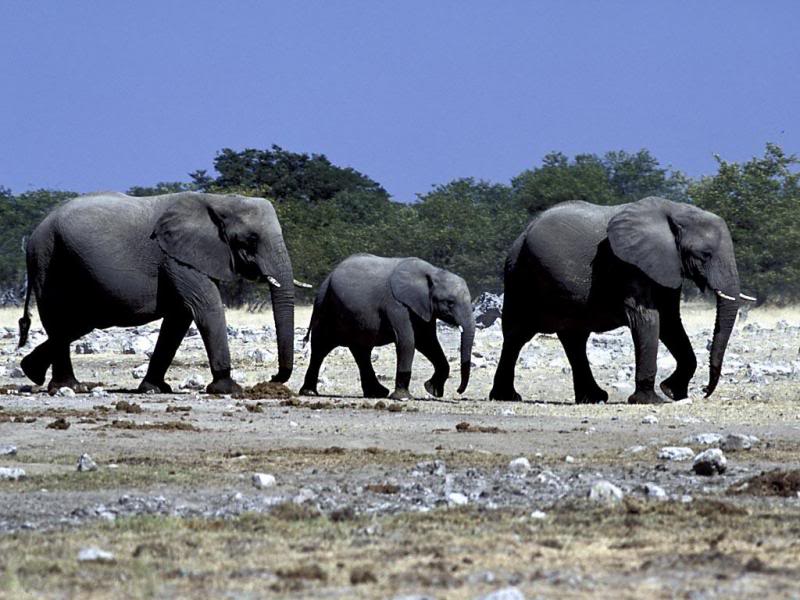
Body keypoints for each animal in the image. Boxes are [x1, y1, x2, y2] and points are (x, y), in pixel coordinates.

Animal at [18, 191, 295, 394]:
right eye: (251, 239)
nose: (273, 378)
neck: (219, 200)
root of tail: (35, 231)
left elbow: (179, 318)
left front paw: (155, 388)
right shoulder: (175, 258)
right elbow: (205, 306)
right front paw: (229, 389)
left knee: (75, 324)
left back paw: (33, 372)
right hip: (47, 257)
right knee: (60, 319)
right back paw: (67, 387)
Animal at [299, 254, 475, 400]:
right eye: (450, 303)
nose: (459, 391)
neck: (433, 272)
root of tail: (327, 278)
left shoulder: (424, 309)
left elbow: (428, 342)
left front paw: (432, 390)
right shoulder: (396, 305)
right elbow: (407, 341)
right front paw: (402, 397)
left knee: (361, 352)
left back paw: (376, 393)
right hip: (325, 308)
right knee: (320, 349)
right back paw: (310, 393)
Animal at [490, 196, 751, 405]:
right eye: (704, 255)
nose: (705, 391)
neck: (676, 211)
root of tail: (523, 232)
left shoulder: (666, 266)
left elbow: (670, 321)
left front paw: (673, 393)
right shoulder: (629, 265)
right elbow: (648, 318)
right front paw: (651, 400)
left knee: (574, 339)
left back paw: (593, 398)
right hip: (518, 275)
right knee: (516, 335)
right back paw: (506, 397)